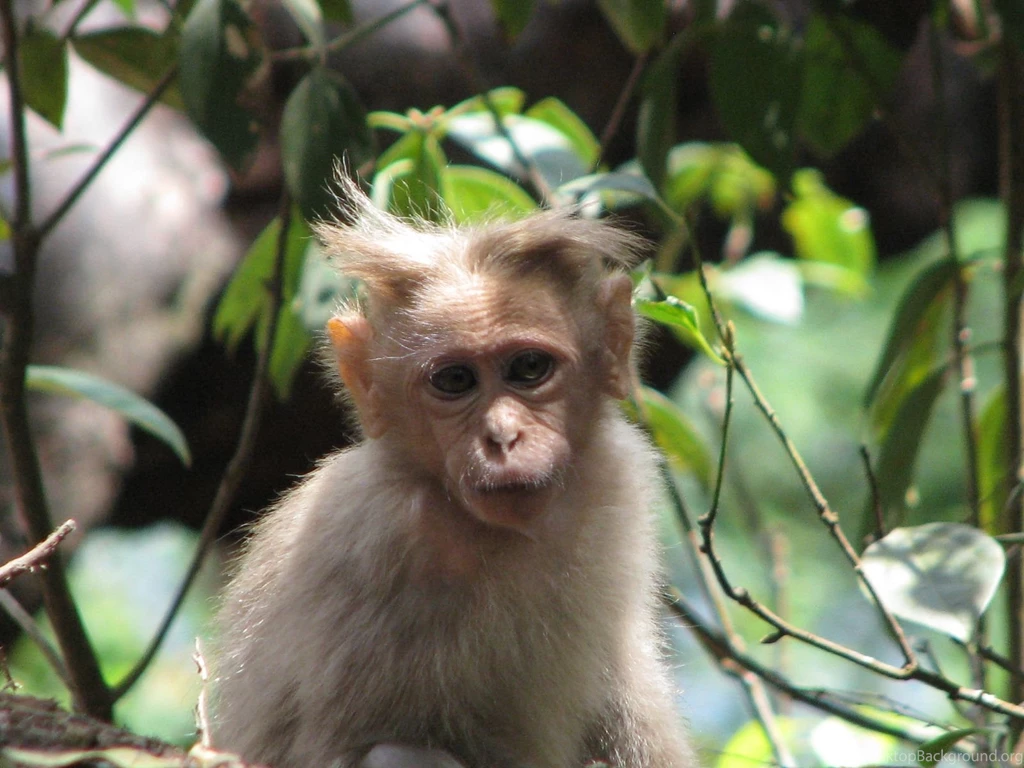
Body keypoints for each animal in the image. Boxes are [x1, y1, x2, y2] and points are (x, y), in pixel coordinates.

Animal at [209, 177, 697, 768]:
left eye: (529, 368)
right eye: (455, 380)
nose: (502, 436)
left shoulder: (614, 480)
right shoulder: (374, 532)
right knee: (397, 752)